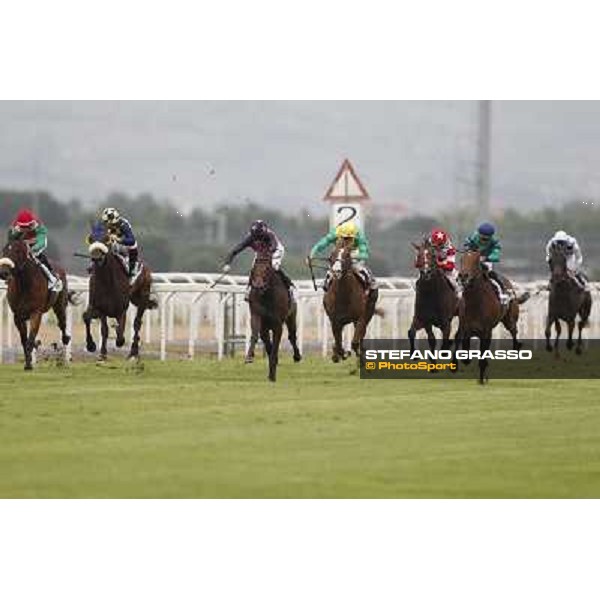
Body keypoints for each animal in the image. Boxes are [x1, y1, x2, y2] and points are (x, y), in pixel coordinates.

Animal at [0, 240, 74, 370]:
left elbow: (30, 339)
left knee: (62, 323)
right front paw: (28, 361)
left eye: (17, 251)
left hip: (60, 305)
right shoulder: (17, 316)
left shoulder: (36, 313)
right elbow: (24, 340)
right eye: (4, 250)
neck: (24, 285)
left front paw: (29, 364)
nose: (3, 273)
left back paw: (65, 342)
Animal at [83, 221, 157, 358]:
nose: (96, 258)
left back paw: (133, 351)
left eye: (106, 238)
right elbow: (98, 326)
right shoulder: (100, 308)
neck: (107, 282)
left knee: (137, 323)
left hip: (143, 297)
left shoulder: (121, 309)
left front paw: (119, 340)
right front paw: (96, 349)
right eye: (90, 239)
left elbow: (120, 334)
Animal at [244, 247, 300, 380]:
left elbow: (275, 346)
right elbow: (257, 336)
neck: (266, 296)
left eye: (267, 269)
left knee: (292, 336)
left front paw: (272, 374)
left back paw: (297, 356)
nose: (258, 286)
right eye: (253, 270)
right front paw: (249, 356)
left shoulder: (277, 324)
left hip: (291, 317)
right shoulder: (257, 317)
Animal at [454, 250, 528, 384]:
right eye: (462, 259)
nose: (463, 276)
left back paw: (516, 347)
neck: (475, 302)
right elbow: (461, 344)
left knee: (514, 330)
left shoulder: (486, 331)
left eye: (476, 261)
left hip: (510, 320)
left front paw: (482, 378)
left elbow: (483, 356)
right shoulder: (464, 327)